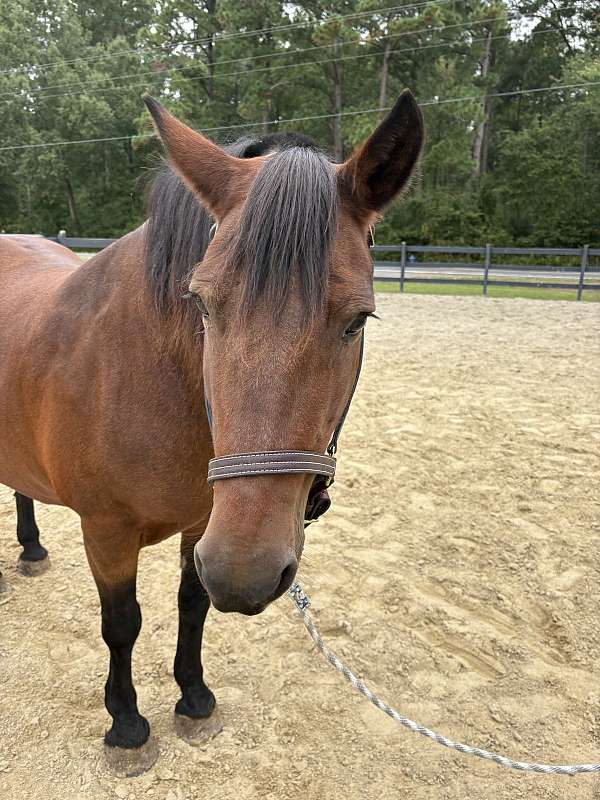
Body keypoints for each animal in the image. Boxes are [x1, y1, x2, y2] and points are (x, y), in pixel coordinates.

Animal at [0, 90, 423, 775]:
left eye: (358, 320)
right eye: (202, 304)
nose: (246, 572)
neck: (146, 374)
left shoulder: (204, 525)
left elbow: (192, 604)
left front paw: (194, 698)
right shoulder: (106, 531)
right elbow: (122, 623)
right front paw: (126, 725)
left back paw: (32, 549)